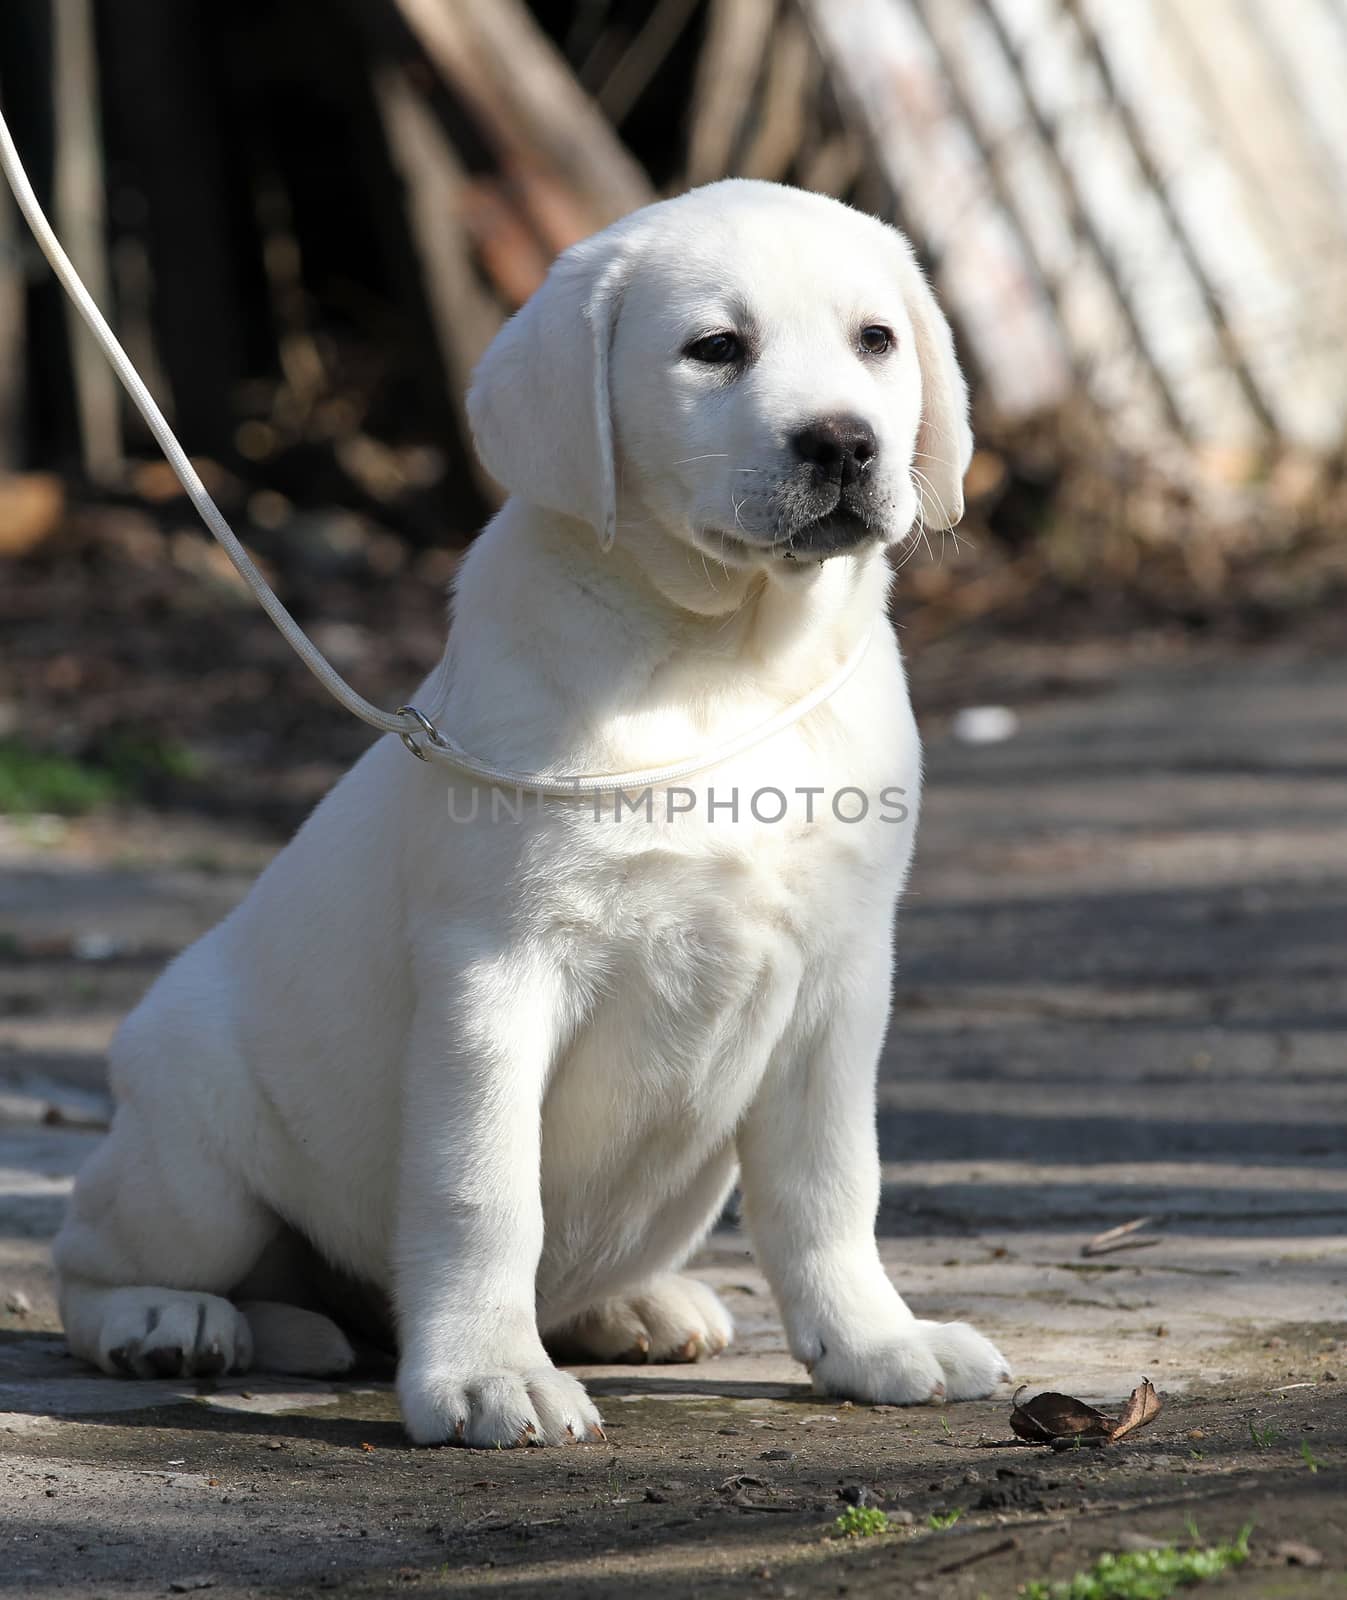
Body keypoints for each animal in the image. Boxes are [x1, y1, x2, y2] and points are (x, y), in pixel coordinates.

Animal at [52, 181, 1004, 1446]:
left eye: (877, 340)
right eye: (716, 348)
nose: (846, 441)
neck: (720, 656)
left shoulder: (840, 976)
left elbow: (831, 1183)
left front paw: (875, 1340)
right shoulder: (495, 971)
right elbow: (483, 1191)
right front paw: (483, 1376)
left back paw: (636, 1306)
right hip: (193, 1157)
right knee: (90, 1251)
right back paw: (165, 1319)